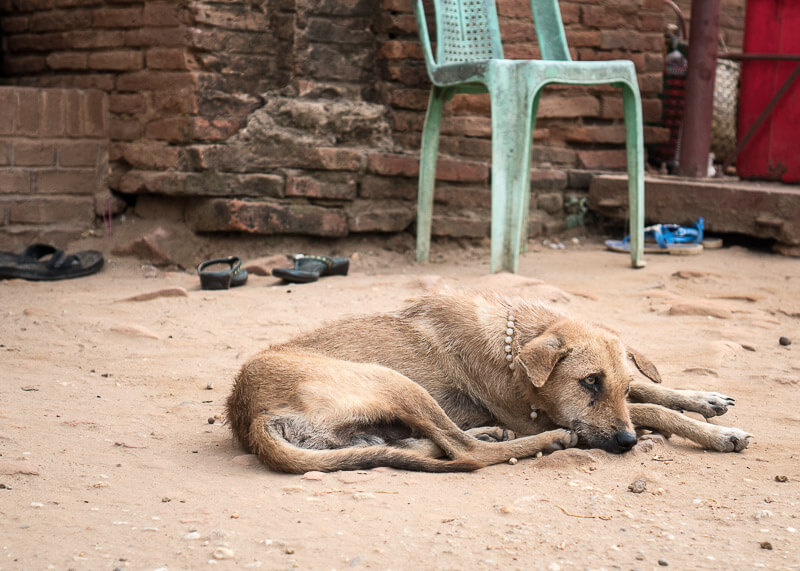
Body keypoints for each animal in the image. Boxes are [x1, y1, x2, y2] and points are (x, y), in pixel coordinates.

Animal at [225, 290, 752, 474]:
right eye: (589, 383)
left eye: (617, 385)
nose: (626, 443)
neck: (516, 346)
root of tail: (247, 413)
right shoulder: (536, 413)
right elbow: (653, 411)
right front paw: (717, 434)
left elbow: (652, 393)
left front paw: (704, 400)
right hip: (395, 382)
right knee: (466, 452)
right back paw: (546, 442)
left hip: (373, 426)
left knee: (431, 444)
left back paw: (486, 433)